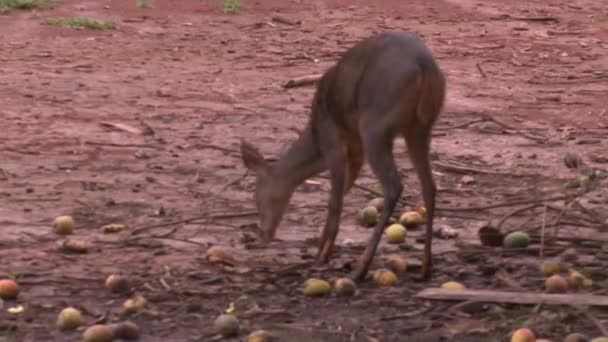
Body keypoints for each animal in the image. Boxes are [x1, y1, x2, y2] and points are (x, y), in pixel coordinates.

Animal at [240, 30, 444, 282]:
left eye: (256, 197)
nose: (263, 233)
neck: (314, 136)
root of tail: (425, 68)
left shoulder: (332, 139)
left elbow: (334, 199)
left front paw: (322, 255)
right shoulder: (355, 149)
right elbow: (343, 190)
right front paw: (321, 246)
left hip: (375, 125)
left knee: (393, 186)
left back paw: (361, 268)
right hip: (419, 128)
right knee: (429, 185)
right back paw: (425, 268)